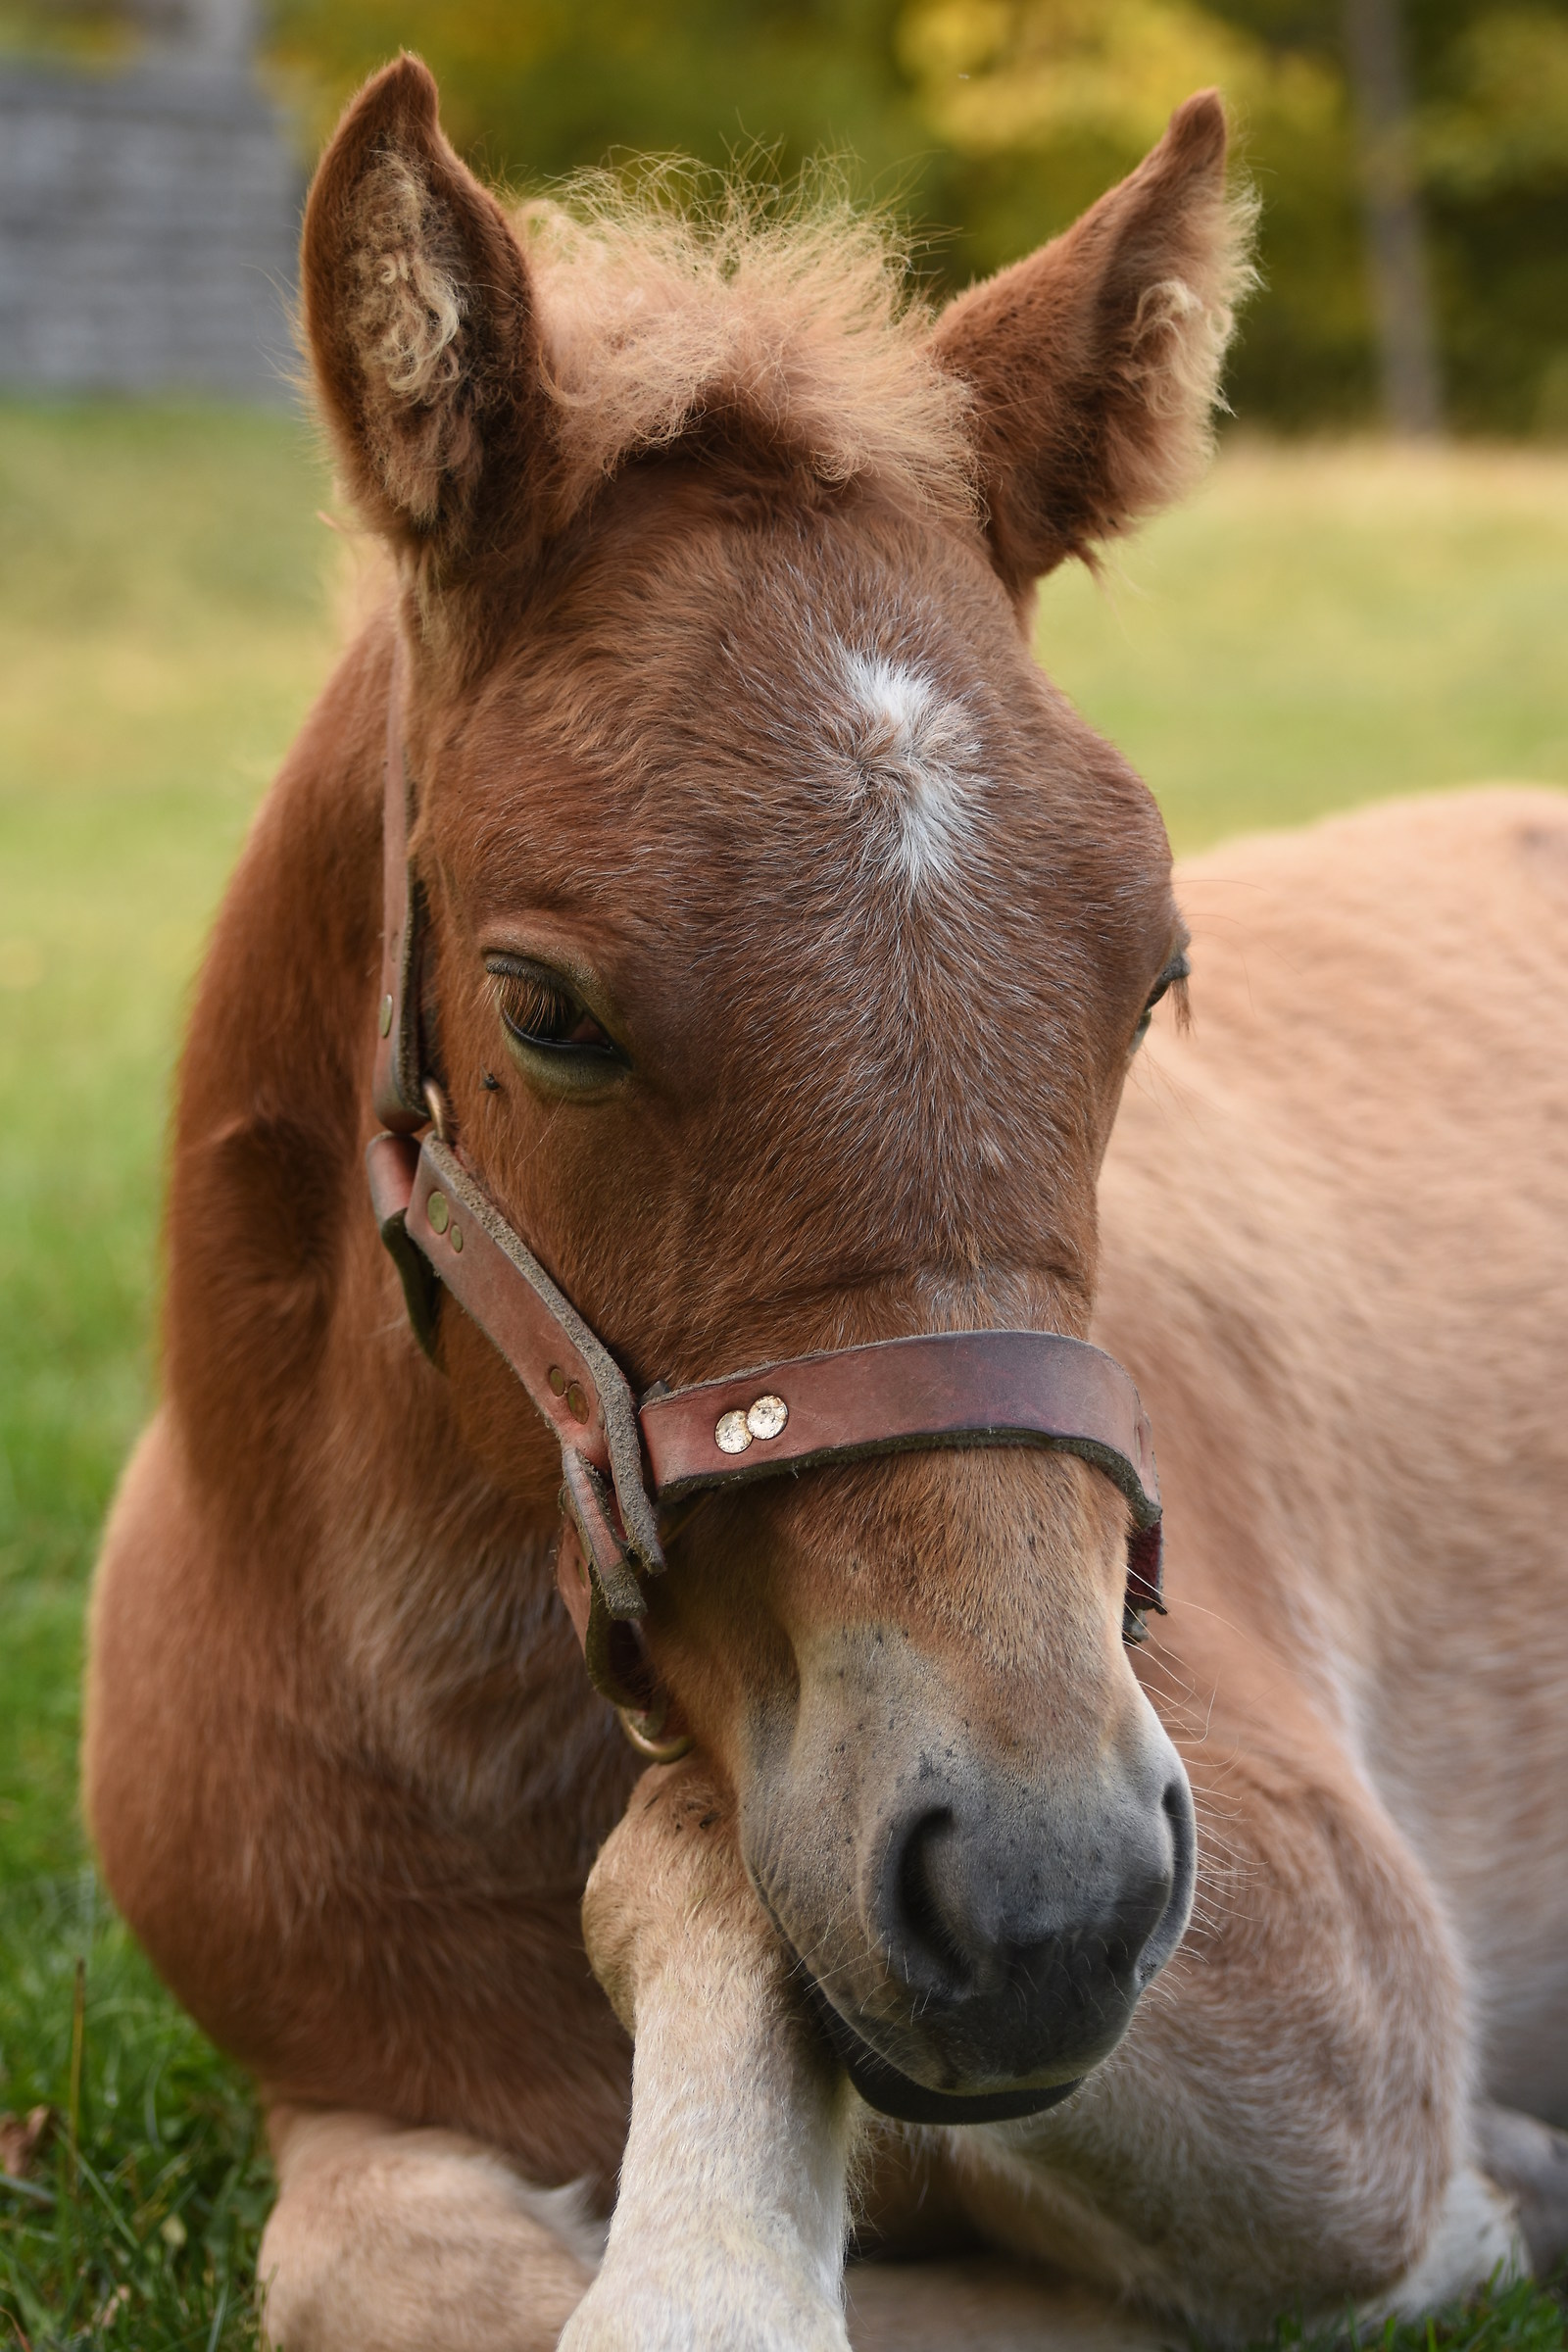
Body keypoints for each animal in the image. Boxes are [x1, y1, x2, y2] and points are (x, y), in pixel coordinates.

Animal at [85, 55, 1568, 2352]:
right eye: (543, 1008)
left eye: (1151, 974)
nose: (1053, 1898)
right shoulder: (337, 2093)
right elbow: (367, 2257)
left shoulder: (1333, 2028)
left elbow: (688, 1862)